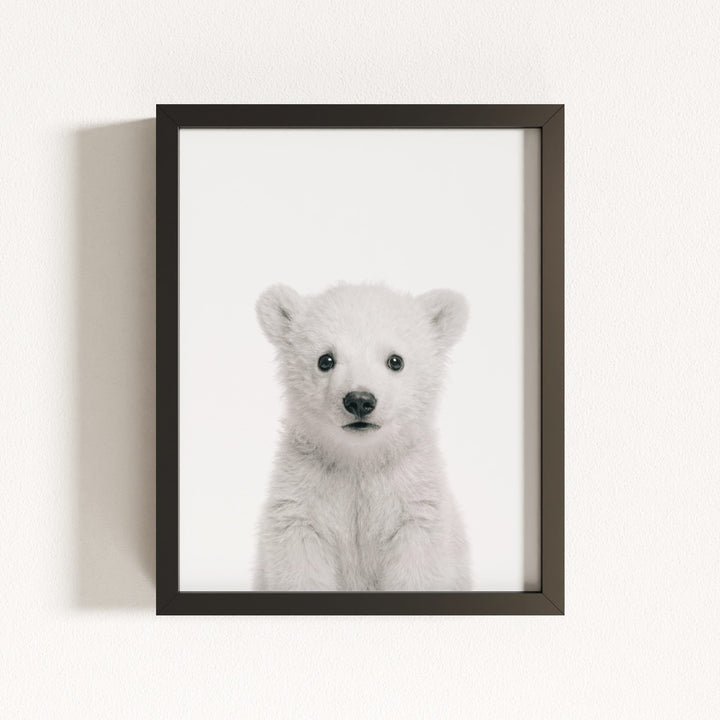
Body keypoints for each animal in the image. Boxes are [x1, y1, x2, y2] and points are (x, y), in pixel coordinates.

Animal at [253, 282, 471, 591]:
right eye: (325, 359)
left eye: (395, 360)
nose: (359, 400)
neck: (359, 461)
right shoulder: (301, 502)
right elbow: (301, 566)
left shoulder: (414, 505)